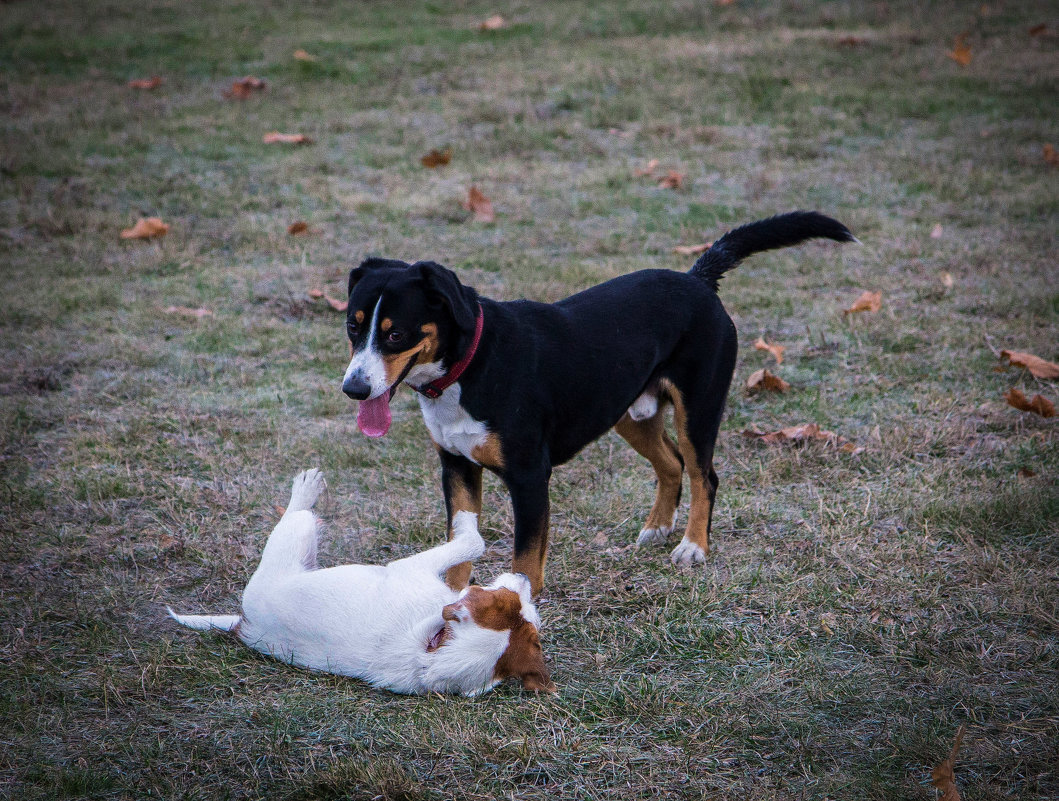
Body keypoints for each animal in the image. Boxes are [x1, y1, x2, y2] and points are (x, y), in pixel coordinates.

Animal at [167, 468, 554, 695]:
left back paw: (305, 487)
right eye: (506, 599)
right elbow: (473, 541)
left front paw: (464, 518)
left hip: (297, 536)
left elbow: (474, 540)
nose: (524, 576)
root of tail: (242, 623)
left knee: (298, 513)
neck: (432, 650)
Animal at [343, 209, 855, 593]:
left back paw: (693, 546)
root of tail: (698, 279)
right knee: (670, 464)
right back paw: (657, 528)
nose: (354, 389)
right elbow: (458, 549)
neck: (471, 367)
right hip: (627, 412)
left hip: (698, 409)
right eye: (352, 325)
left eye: (395, 334)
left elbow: (525, 560)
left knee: (703, 474)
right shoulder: (457, 467)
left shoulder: (529, 477)